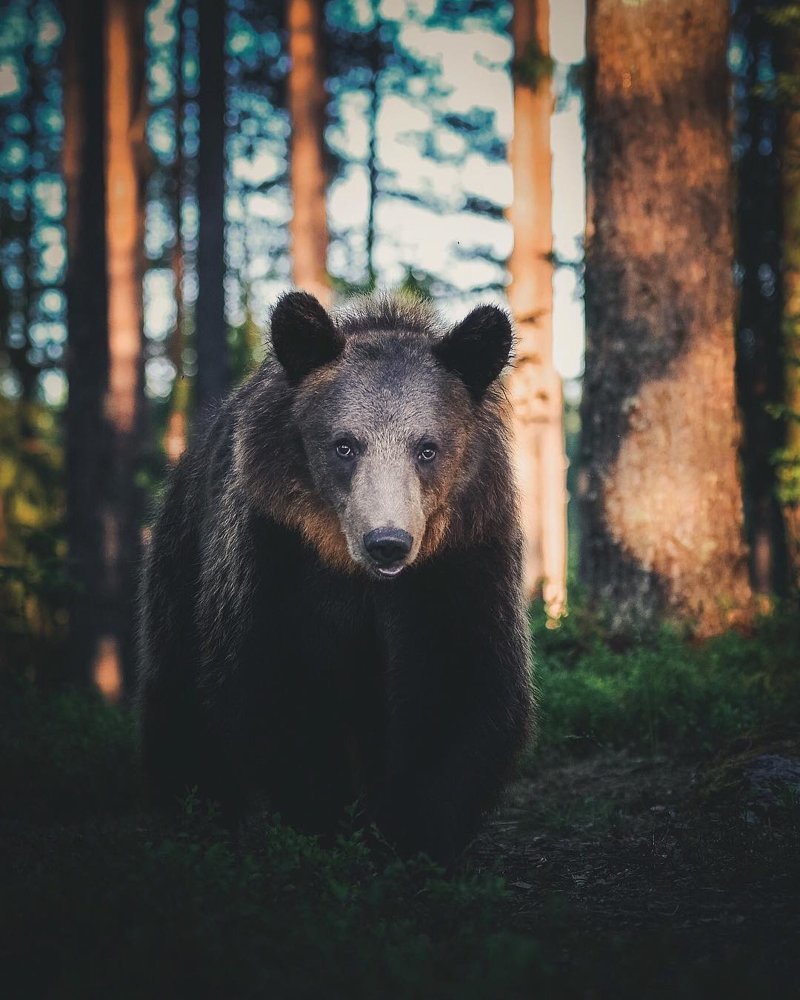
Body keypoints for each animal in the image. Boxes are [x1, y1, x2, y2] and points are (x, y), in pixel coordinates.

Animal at [137, 292, 536, 868]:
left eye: (428, 448)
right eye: (345, 445)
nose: (387, 541)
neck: (357, 573)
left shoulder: (458, 562)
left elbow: (459, 683)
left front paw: (416, 833)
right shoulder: (275, 555)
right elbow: (276, 684)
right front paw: (329, 825)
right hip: (181, 562)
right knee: (179, 699)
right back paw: (192, 817)